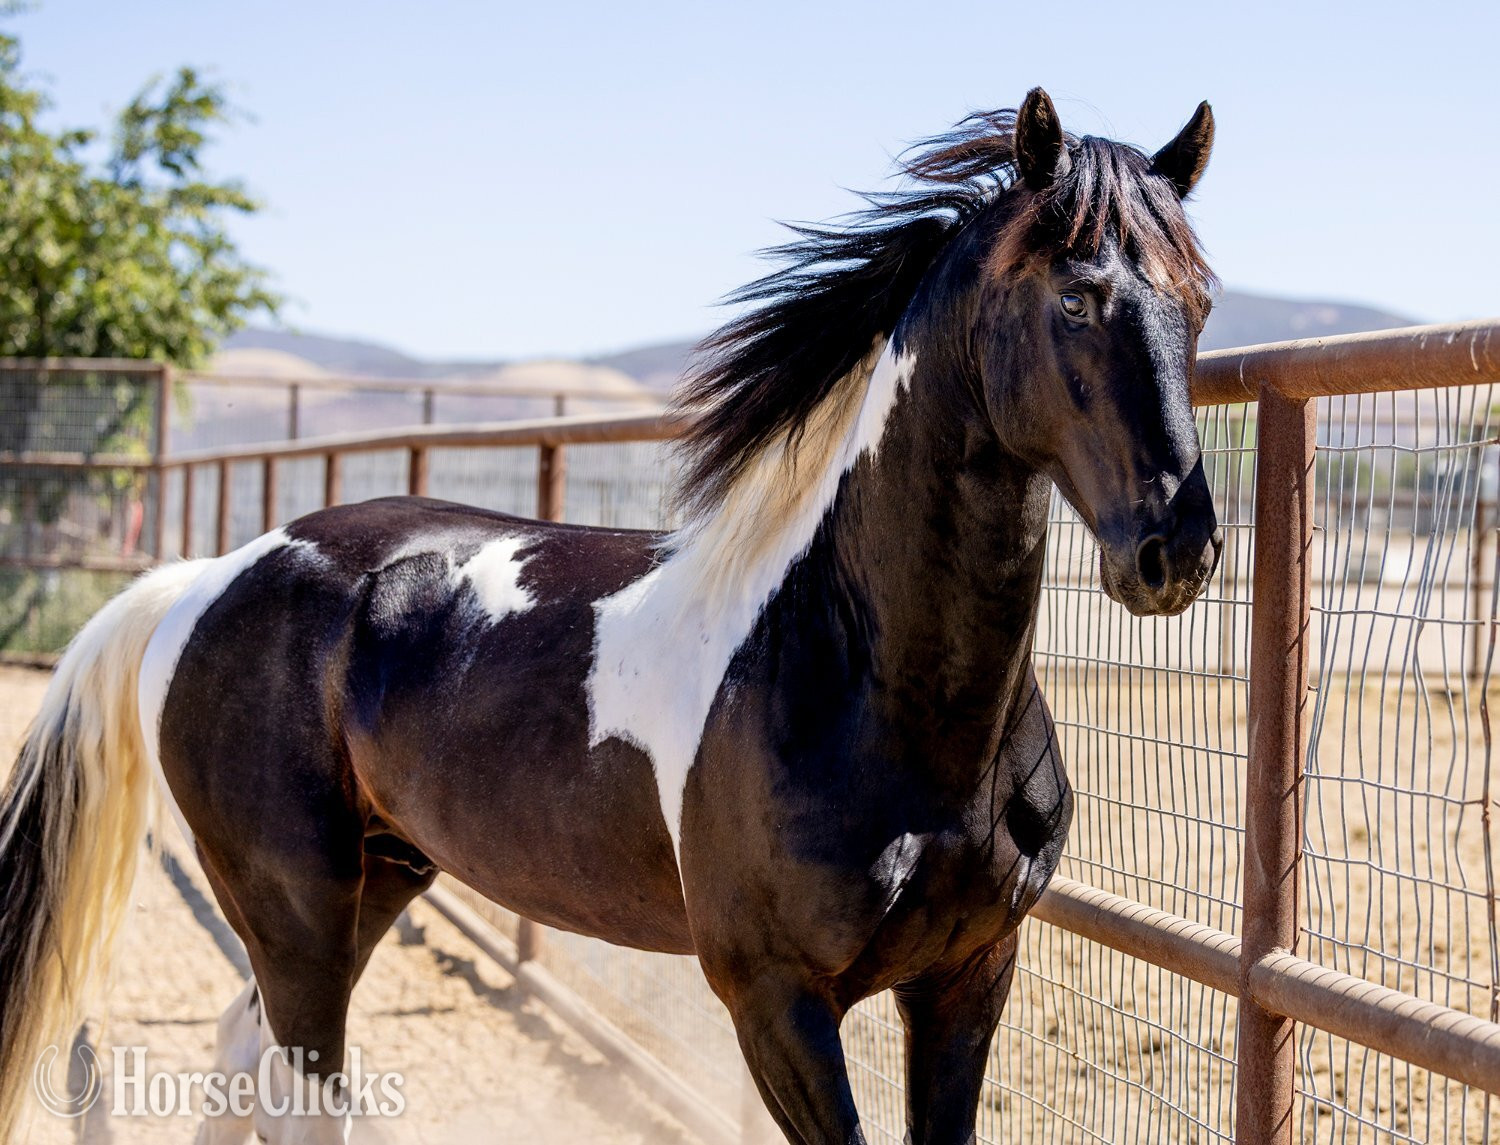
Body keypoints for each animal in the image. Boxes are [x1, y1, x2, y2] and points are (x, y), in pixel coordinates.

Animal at [0, 87, 1220, 1144]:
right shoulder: (776, 1003)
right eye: (1076, 296)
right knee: (298, 1093)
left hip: (374, 878)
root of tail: (208, 578)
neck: (856, 676)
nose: (1180, 548)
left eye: (1199, 305)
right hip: (294, 901)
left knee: (239, 1053)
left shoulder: (969, 977)